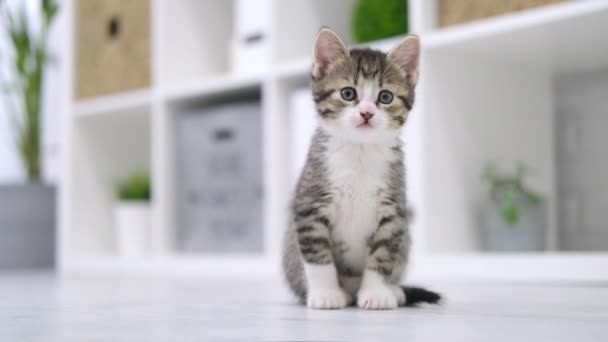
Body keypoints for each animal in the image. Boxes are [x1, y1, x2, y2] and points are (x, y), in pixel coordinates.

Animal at [282, 28, 440, 308]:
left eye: (385, 97)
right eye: (348, 93)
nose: (367, 113)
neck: (360, 151)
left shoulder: (393, 210)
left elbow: (383, 254)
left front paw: (376, 293)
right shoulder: (309, 203)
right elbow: (317, 255)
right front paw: (325, 294)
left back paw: (393, 291)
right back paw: (342, 293)